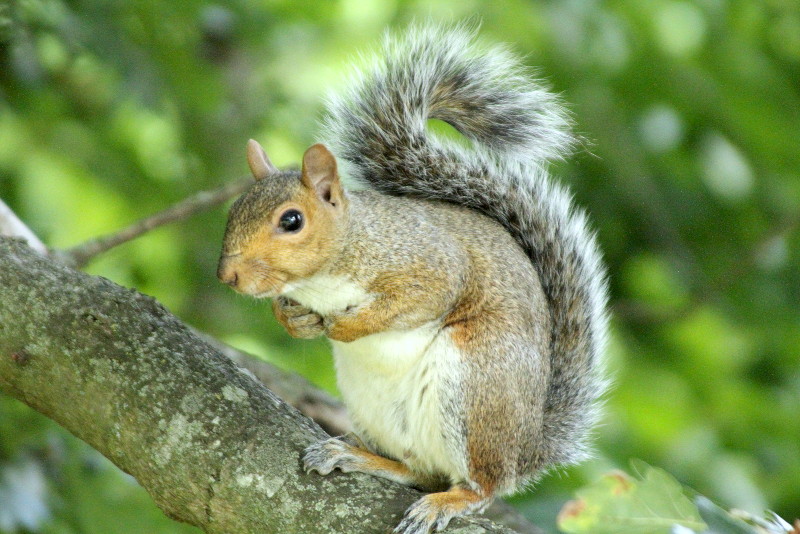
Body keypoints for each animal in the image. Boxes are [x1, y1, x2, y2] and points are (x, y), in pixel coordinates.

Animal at [217, 24, 608, 534]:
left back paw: (450, 500)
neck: (327, 275)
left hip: (477, 381)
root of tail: (527, 451)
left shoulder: (430, 265)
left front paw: (346, 326)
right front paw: (296, 321)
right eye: (233, 211)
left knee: (481, 485)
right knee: (419, 470)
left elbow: (417, 301)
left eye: (291, 220)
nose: (228, 275)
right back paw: (355, 456)